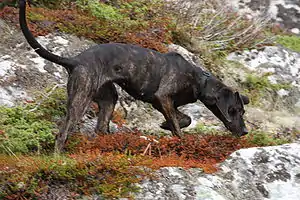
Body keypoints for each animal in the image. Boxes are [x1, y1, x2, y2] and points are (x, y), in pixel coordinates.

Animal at [19, 0, 251, 151]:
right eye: (234, 110)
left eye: (242, 111)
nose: (245, 132)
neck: (199, 80)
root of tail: (75, 61)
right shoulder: (163, 98)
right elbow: (179, 127)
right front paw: (180, 140)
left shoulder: (163, 103)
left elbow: (185, 118)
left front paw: (165, 125)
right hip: (81, 98)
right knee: (62, 134)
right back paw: (59, 158)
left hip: (108, 97)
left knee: (101, 127)